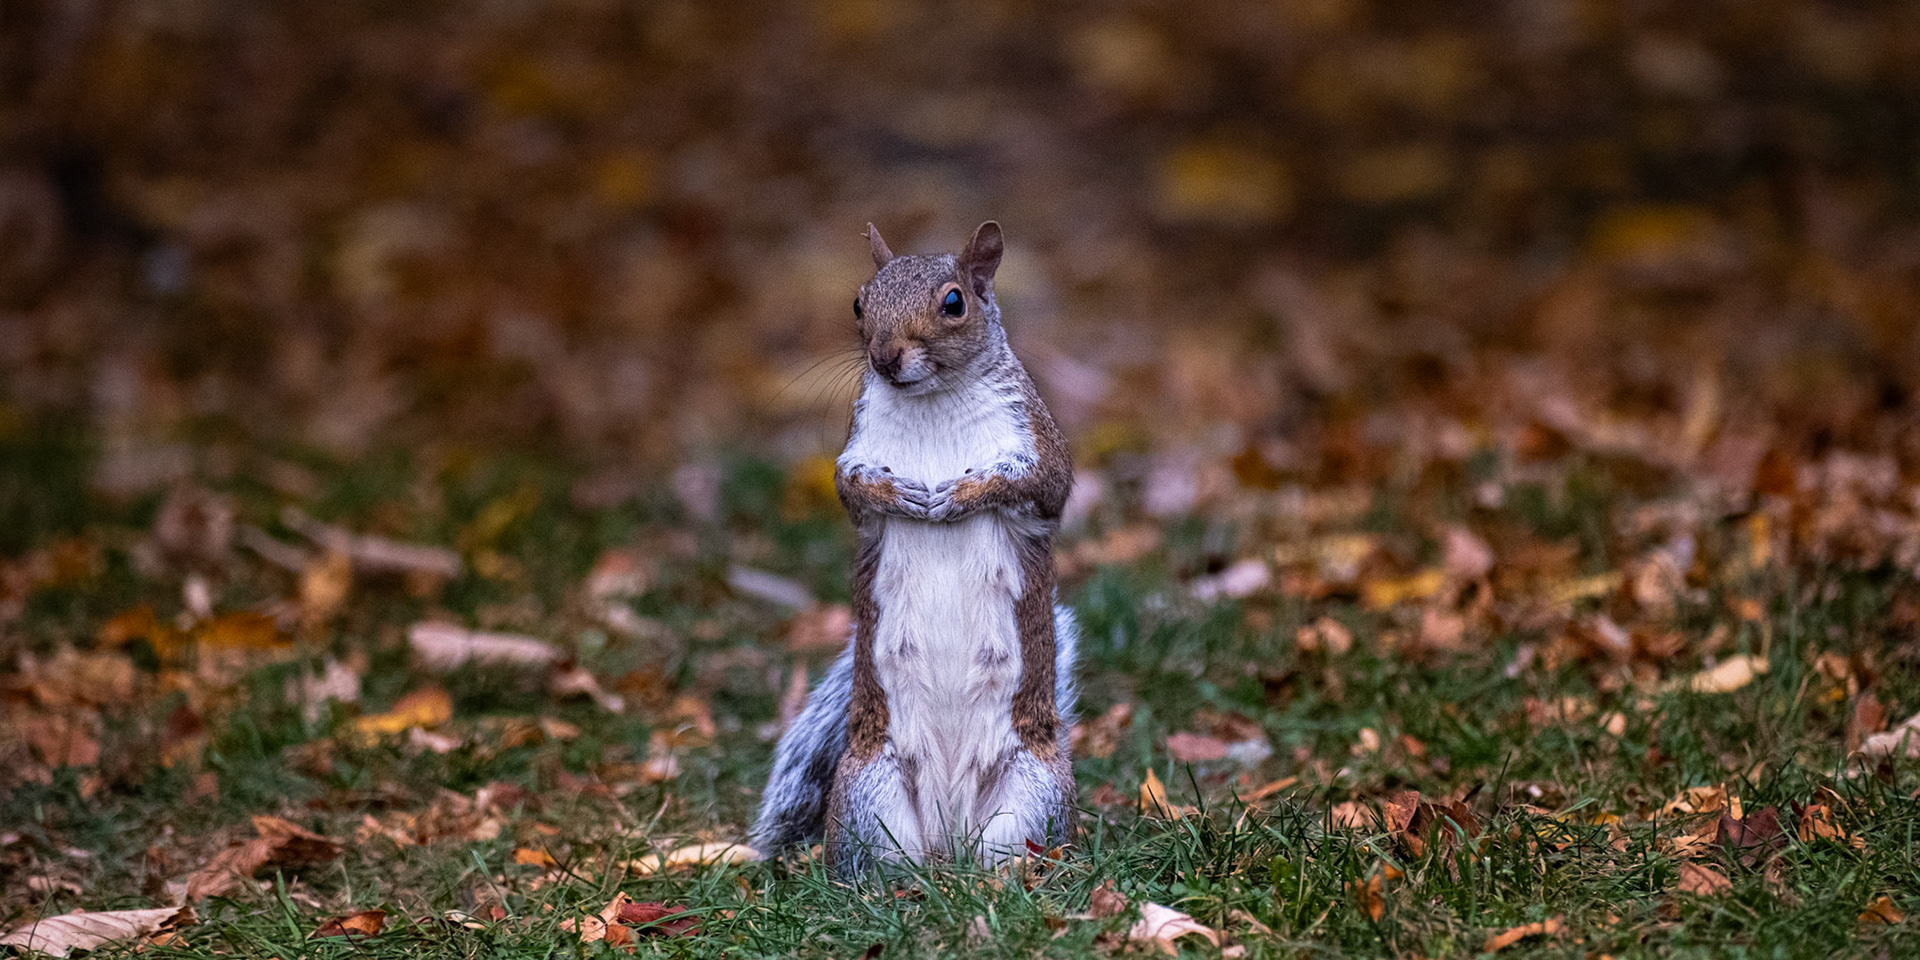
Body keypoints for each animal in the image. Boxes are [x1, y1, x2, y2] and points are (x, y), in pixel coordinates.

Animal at [752, 221, 1078, 874]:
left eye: (955, 302)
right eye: (858, 303)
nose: (884, 357)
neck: (933, 400)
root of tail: (948, 838)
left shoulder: (1038, 447)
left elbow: (1039, 484)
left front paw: (960, 492)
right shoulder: (856, 449)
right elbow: (853, 490)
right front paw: (897, 491)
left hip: (1034, 794)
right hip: (867, 794)